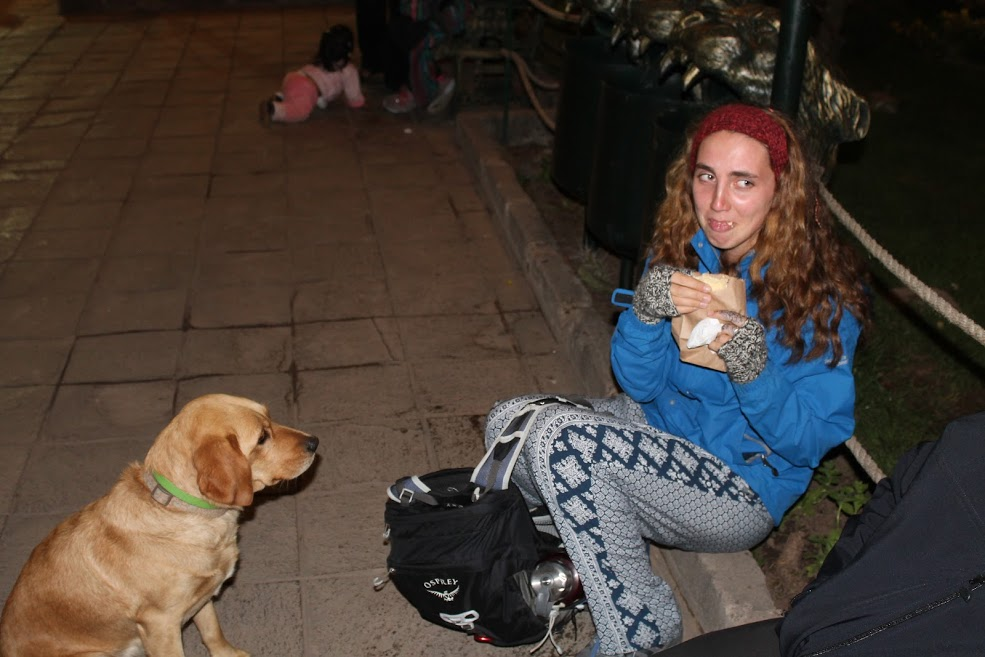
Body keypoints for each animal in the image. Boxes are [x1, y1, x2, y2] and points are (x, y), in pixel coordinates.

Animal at [0, 394, 318, 657]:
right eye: (262, 437)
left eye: (269, 417)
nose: (314, 442)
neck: (179, 510)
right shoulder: (160, 624)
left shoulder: (202, 596)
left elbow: (212, 631)